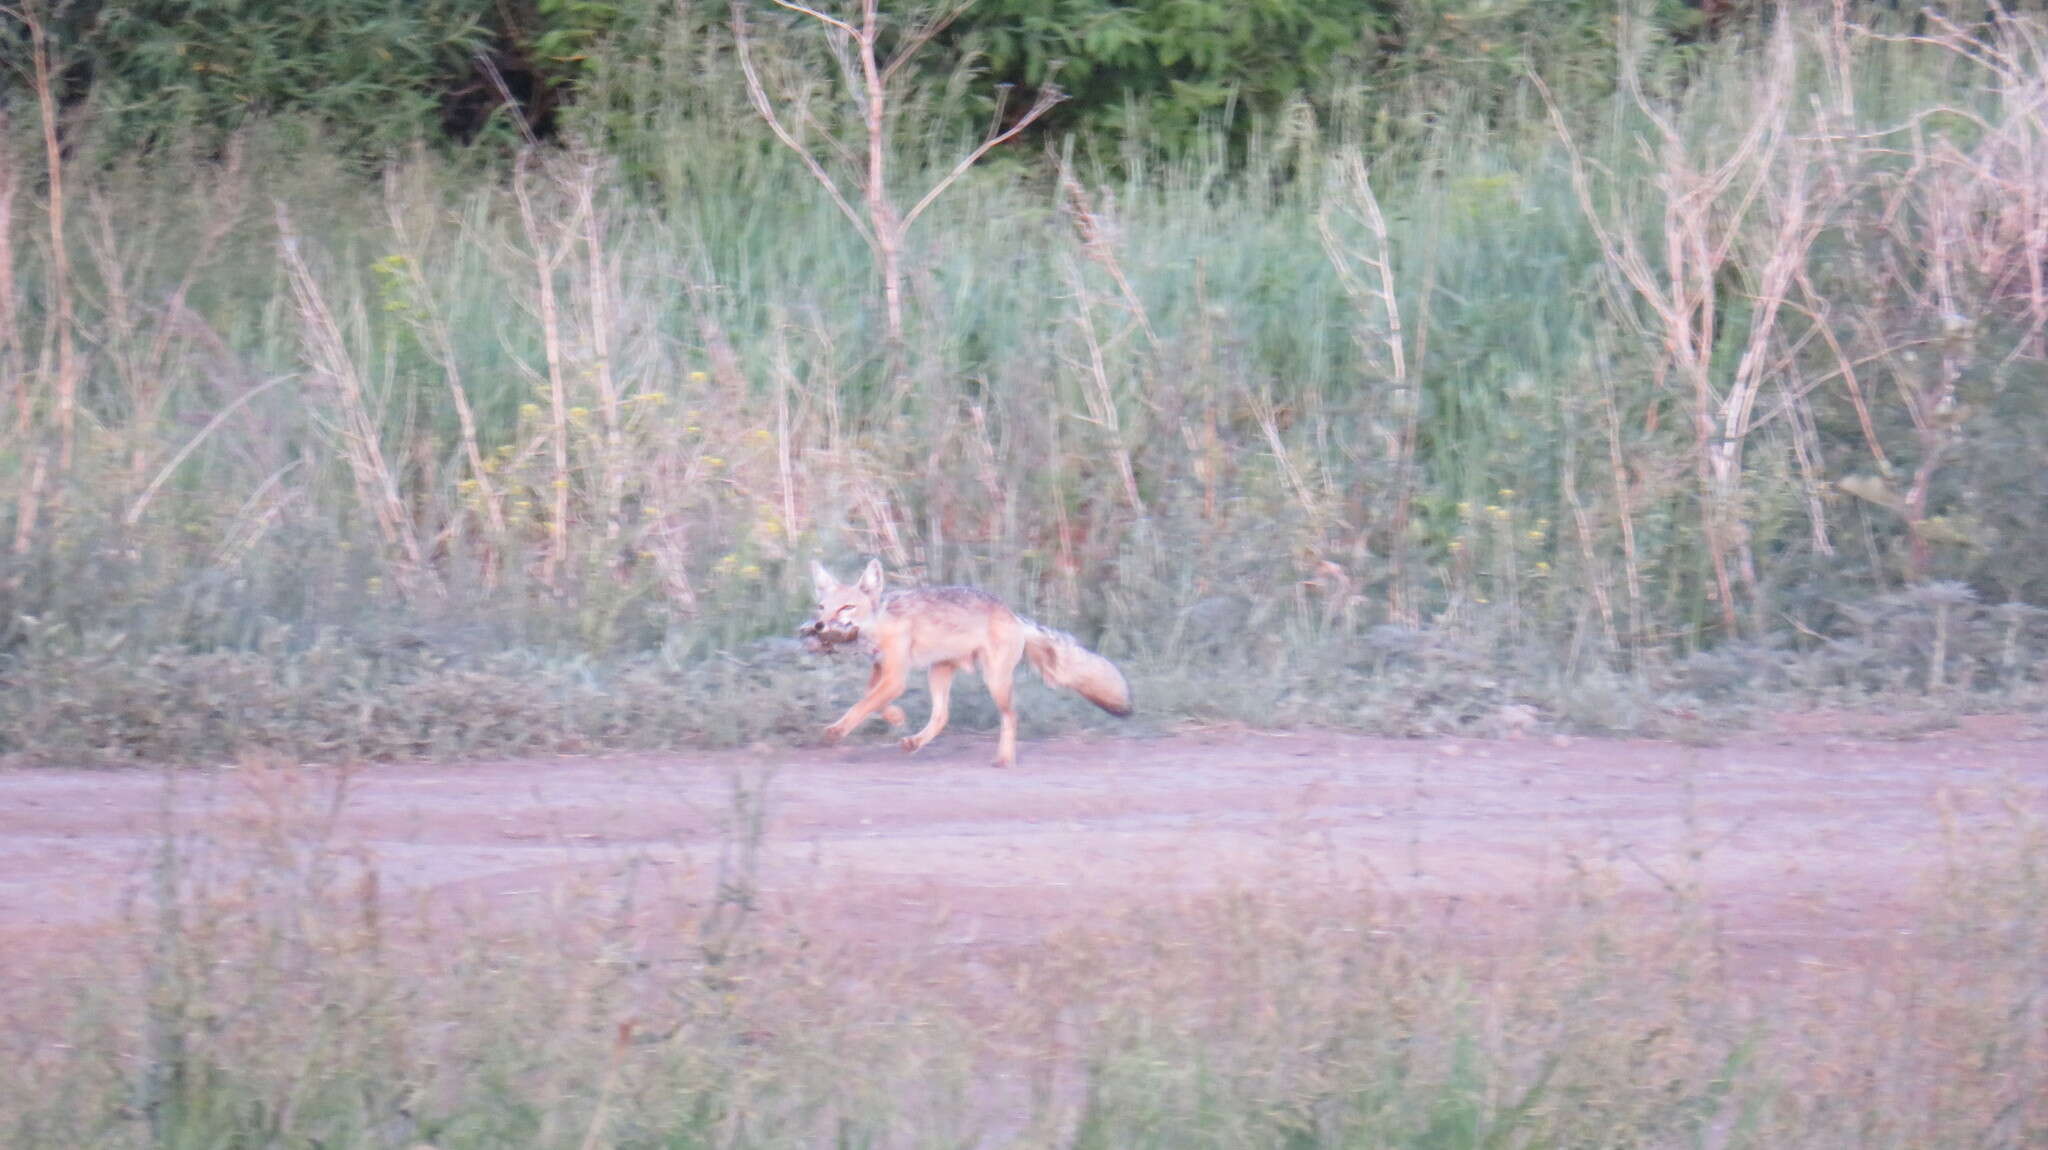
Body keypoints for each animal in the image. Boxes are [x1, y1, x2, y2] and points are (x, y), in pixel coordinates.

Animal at [798, 556, 1130, 765]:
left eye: (846, 608)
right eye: (822, 607)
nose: (818, 626)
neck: (880, 624)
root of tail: (1011, 613)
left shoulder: (895, 677)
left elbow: (861, 705)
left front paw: (837, 731)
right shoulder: (881, 669)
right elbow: (871, 700)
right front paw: (896, 716)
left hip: (994, 681)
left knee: (1011, 716)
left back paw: (1004, 760)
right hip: (938, 673)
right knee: (943, 716)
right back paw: (915, 742)